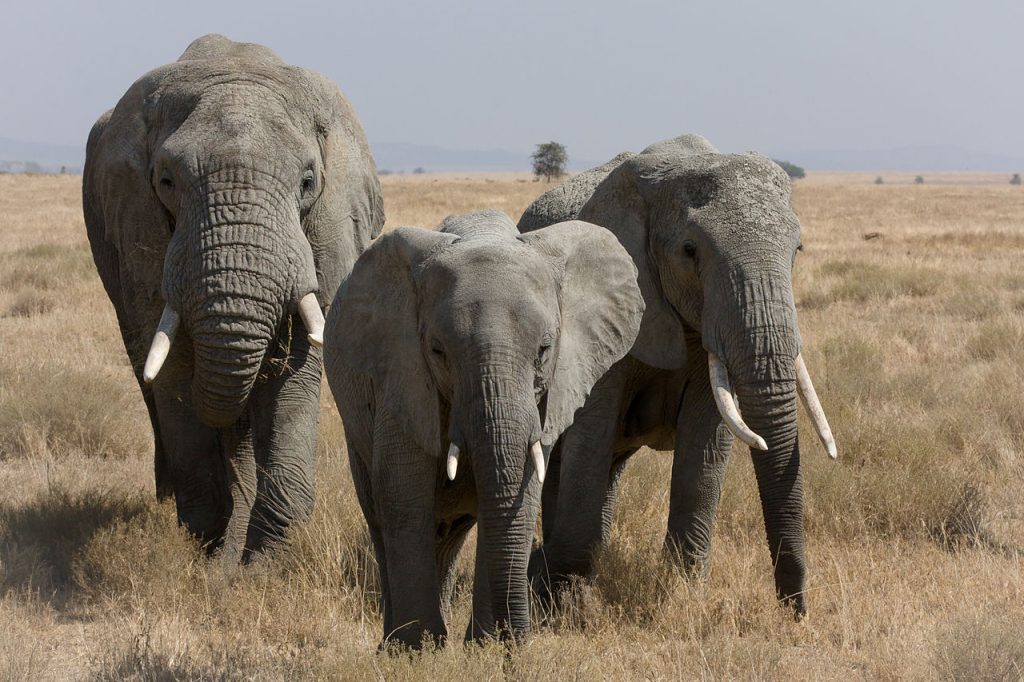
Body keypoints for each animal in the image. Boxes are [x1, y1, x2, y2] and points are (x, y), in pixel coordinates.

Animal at [83, 35, 384, 561]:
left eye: (308, 182)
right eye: (166, 182)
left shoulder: (327, 231)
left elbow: (299, 364)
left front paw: (266, 560)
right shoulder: (138, 227)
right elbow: (174, 364)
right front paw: (206, 546)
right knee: (145, 366)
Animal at [324, 209, 643, 647]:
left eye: (545, 350)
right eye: (438, 351)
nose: (518, 643)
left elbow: (520, 497)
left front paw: (483, 647)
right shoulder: (400, 373)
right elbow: (403, 496)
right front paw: (415, 651)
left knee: (450, 532)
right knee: (382, 516)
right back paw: (401, 642)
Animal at [519, 135, 837, 618]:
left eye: (797, 251)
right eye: (690, 251)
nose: (796, 613)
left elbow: (705, 449)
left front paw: (681, 595)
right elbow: (590, 436)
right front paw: (562, 602)